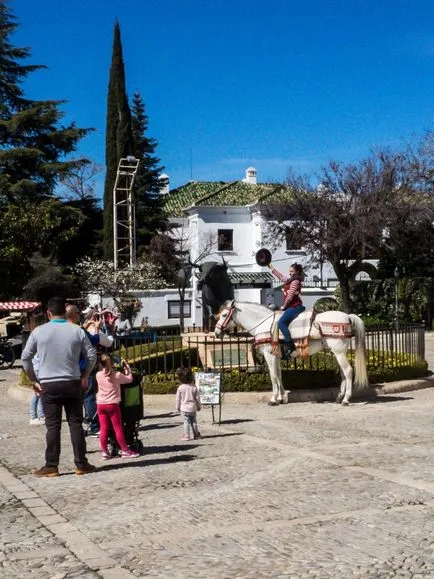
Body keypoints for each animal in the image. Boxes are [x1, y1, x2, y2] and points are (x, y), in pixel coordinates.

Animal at [213, 302, 366, 406]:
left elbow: (273, 376)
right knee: (343, 374)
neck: (263, 324)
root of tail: (347, 316)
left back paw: (346, 399)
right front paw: (281, 398)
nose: (216, 332)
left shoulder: (269, 355)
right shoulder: (276, 356)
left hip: (339, 352)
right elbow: (279, 375)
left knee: (348, 371)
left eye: (224, 315)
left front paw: (273, 399)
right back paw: (339, 397)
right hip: (338, 352)